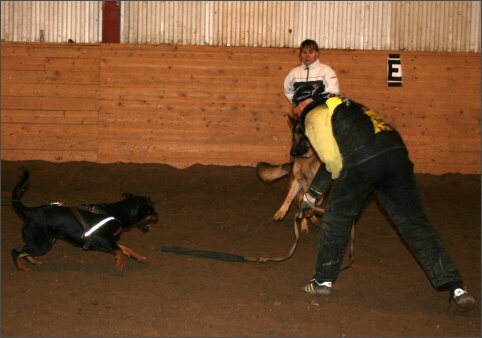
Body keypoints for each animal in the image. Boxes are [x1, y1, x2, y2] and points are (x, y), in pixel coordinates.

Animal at [11, 172, 158, 272]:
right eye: (152, 210)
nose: (158, 216)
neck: (118, 212)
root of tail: (30, 212)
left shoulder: (107, 241)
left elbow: (124, 248)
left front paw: (139, 257)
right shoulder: (102, 238)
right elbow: (120, 250)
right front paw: (120, 265)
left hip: (43, 241)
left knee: (25, 251)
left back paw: (34, 263)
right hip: (42, 244)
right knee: (15, 251)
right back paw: (22, 268)